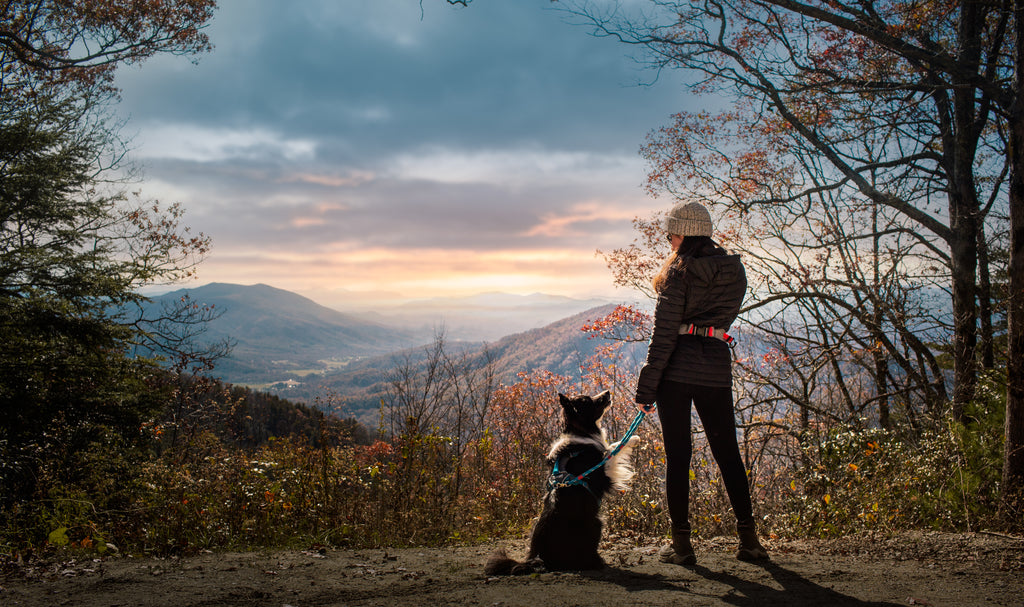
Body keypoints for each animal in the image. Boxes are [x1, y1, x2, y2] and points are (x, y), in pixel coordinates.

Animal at [481, 388, 638, 573]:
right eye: (588, 401)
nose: (607, 392)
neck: (581, 431)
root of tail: (540, 559)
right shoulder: (603, 473)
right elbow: (613, 449)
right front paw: (634, 438)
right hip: (595, 523)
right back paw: (599, 563)